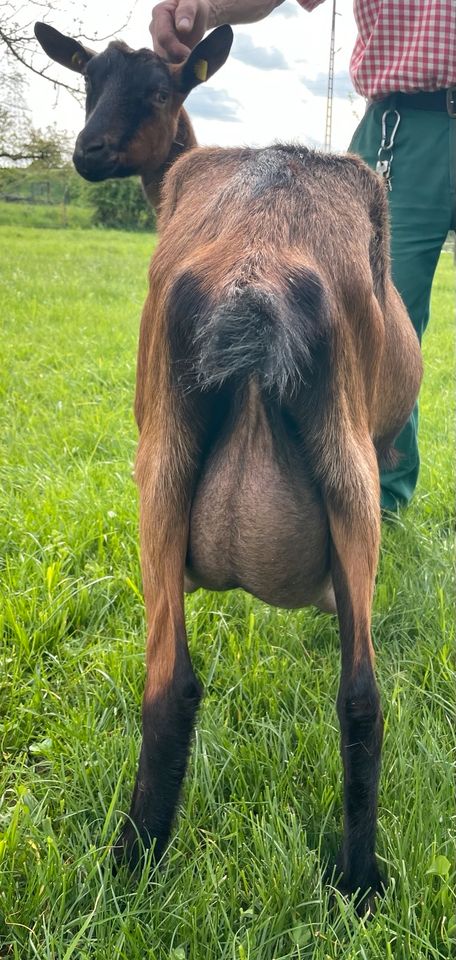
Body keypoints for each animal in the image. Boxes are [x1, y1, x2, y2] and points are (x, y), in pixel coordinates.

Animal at [36, 20, 424, 908]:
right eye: (88, 84)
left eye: (157, 91)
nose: (88, 151)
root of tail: (257, 273)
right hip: (329, 469)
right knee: (353, 697)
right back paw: (353, 885)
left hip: (166, 466)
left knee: (178, 686)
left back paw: (135, 868)